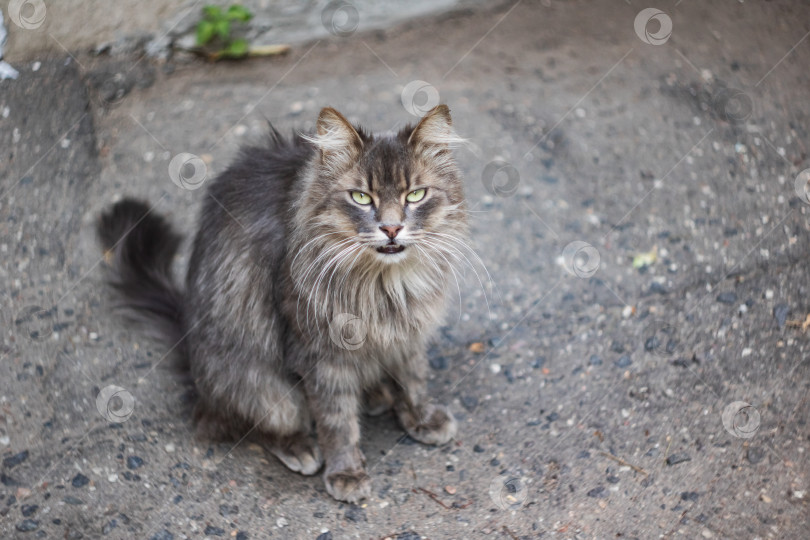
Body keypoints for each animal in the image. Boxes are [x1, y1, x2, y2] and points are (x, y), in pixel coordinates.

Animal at [97, 105, 468, 502]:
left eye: (415, 195)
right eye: (361, 198)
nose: (391, 228)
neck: (386, 284)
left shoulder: (409, 334)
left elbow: (413, 380)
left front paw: (421, 418)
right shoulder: (318, 355)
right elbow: (337, 421)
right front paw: (346, 472)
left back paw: (376, 396)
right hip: (262, 384)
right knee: (242, 423)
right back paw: (299, 446)